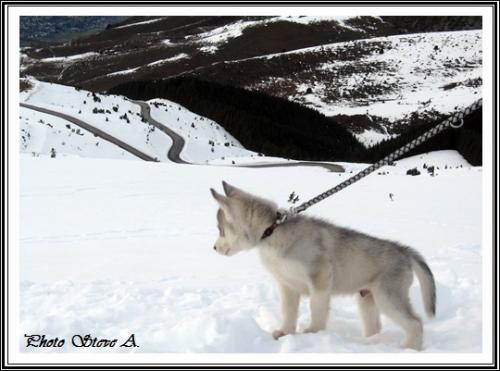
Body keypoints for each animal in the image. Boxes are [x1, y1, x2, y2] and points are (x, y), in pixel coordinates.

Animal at [209, 182, 436, 350]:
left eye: (221, 229)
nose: (213, 248)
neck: (272, 233)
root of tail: (404, 250)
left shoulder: (320, 277)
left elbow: (316, 308)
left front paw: (312, 332)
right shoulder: (287, 285)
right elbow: (288, 311)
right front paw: (285, 332)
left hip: (387, 296)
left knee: (415, 323)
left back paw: (409, 348)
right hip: (366, 298)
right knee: (375, 326)